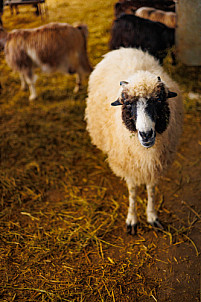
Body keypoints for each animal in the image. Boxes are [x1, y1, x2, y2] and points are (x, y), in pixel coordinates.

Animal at [85, 48, 183, 235]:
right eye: (129, 104)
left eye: (158, 100)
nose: (146, 134)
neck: (145, 152)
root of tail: (124, 49)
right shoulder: (128, 164)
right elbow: (132, 190)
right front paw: (132, 218)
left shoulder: (155, 165)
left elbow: (151, 190)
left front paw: (152, 215)